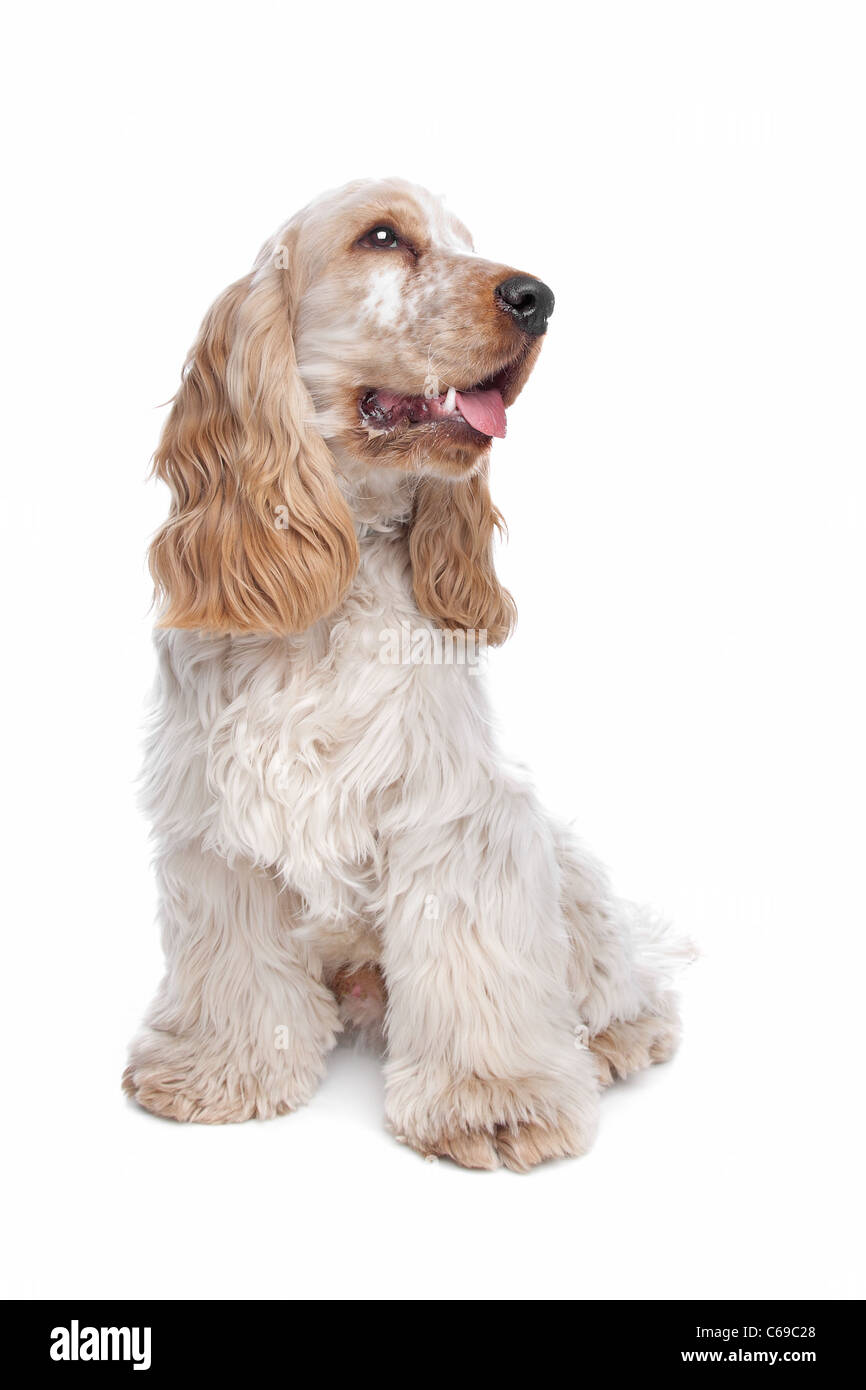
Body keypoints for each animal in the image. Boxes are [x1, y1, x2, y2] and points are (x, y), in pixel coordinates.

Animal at [123, 179, 683, 1167]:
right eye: (383, 237)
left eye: (468, 240)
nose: (538, 298)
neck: (331, 591)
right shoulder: (214, 826)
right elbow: (235, 967)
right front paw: (219, 1074)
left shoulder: (456, 816)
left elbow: (473, 963)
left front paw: (494, 1102)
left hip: (562, 862)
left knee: (619, 974)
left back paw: (618, 1036)